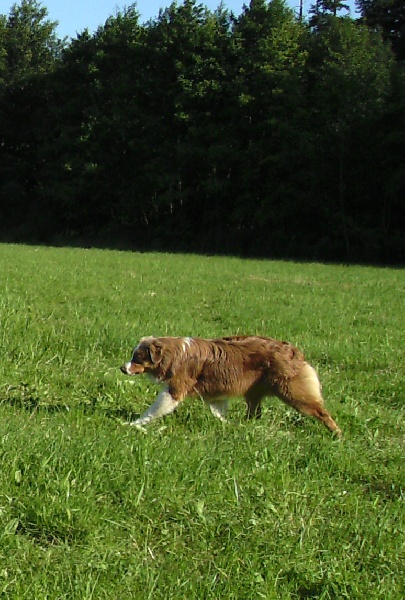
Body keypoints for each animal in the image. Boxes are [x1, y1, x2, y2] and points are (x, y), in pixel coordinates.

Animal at [120, 332, 340, 436]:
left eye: (137, 358)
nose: (123, 368)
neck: (172, 353)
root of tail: (293, 350)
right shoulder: (216, 392)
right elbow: (218, 411)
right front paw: (227, 425)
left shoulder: (176, 388)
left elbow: (154, 409)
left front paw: (134, 423)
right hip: (254, 392)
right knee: (255, 413)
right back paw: (246, 426)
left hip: (293, 391)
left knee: (321, 411)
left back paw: (337, 434)